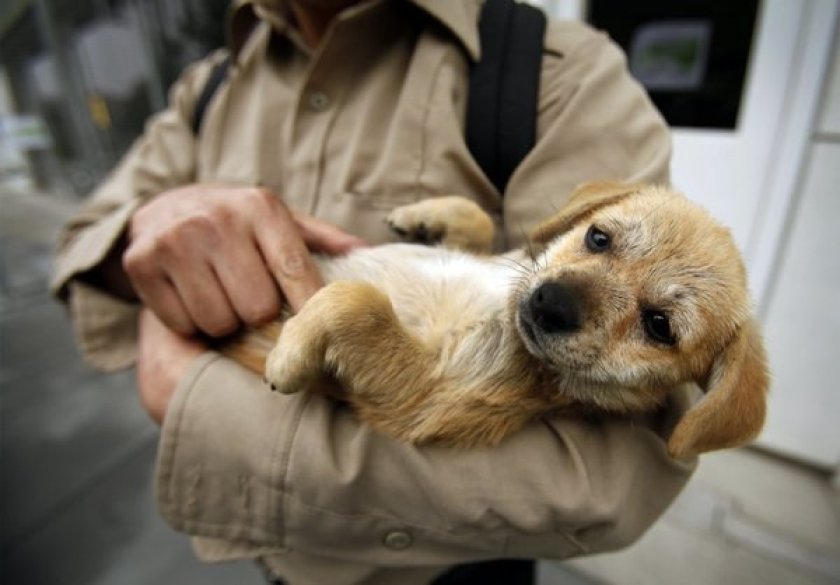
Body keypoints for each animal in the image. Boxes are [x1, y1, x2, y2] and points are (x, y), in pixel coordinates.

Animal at [221, 181, 768, 456]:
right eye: (598, 237)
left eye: (659, 326)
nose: (552, 302)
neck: (498, 311)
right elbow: (480, 218)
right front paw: (422, 216)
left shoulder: (424, 393)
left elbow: (356, 300)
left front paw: (290, 352)